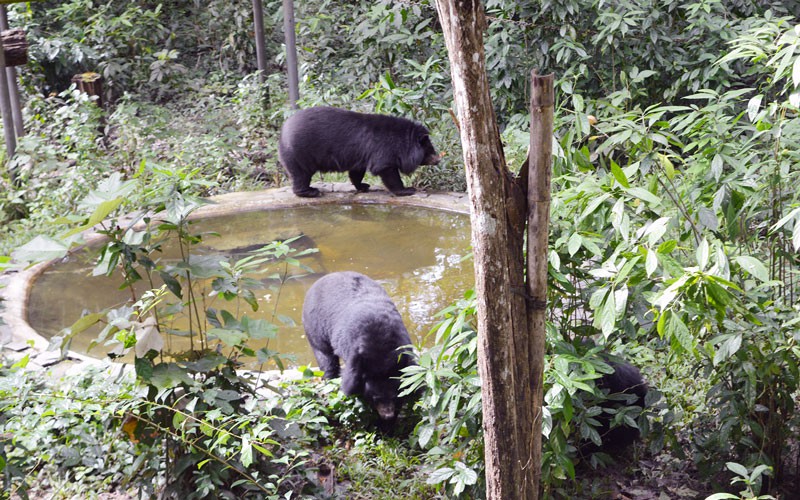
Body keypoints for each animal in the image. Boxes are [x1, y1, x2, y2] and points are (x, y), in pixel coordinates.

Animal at [274, 106, 438, 196]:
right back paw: (310, 192)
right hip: (299, 152)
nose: (438, 159)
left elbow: (356, 172)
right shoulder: (384, 150)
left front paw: (363, 186)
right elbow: (386, 169)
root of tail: (282, 131)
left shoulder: (359, 154)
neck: (403, 142)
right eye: (430, 150)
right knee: (301, 174)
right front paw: (407, 190)